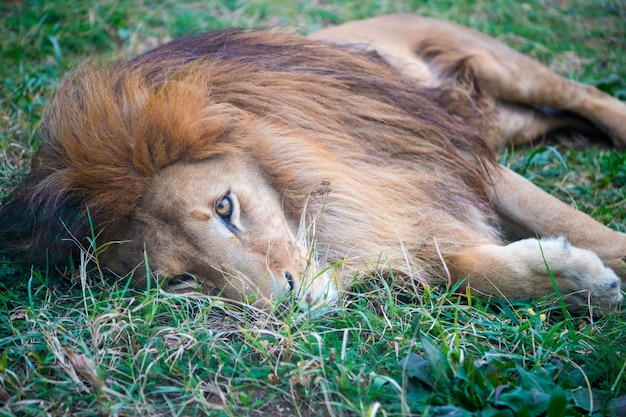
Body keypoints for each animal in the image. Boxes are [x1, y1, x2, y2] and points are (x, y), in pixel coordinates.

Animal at [1, 14, 624, 310]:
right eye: (183, 281)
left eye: (225, 207)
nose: (289, 305)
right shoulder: (407, 215)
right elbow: (468, 268)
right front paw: (577, 282)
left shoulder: (440, 162)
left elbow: (576, 225)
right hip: (506, 120)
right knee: (552, 117)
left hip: (499, 66)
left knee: (580, 94)